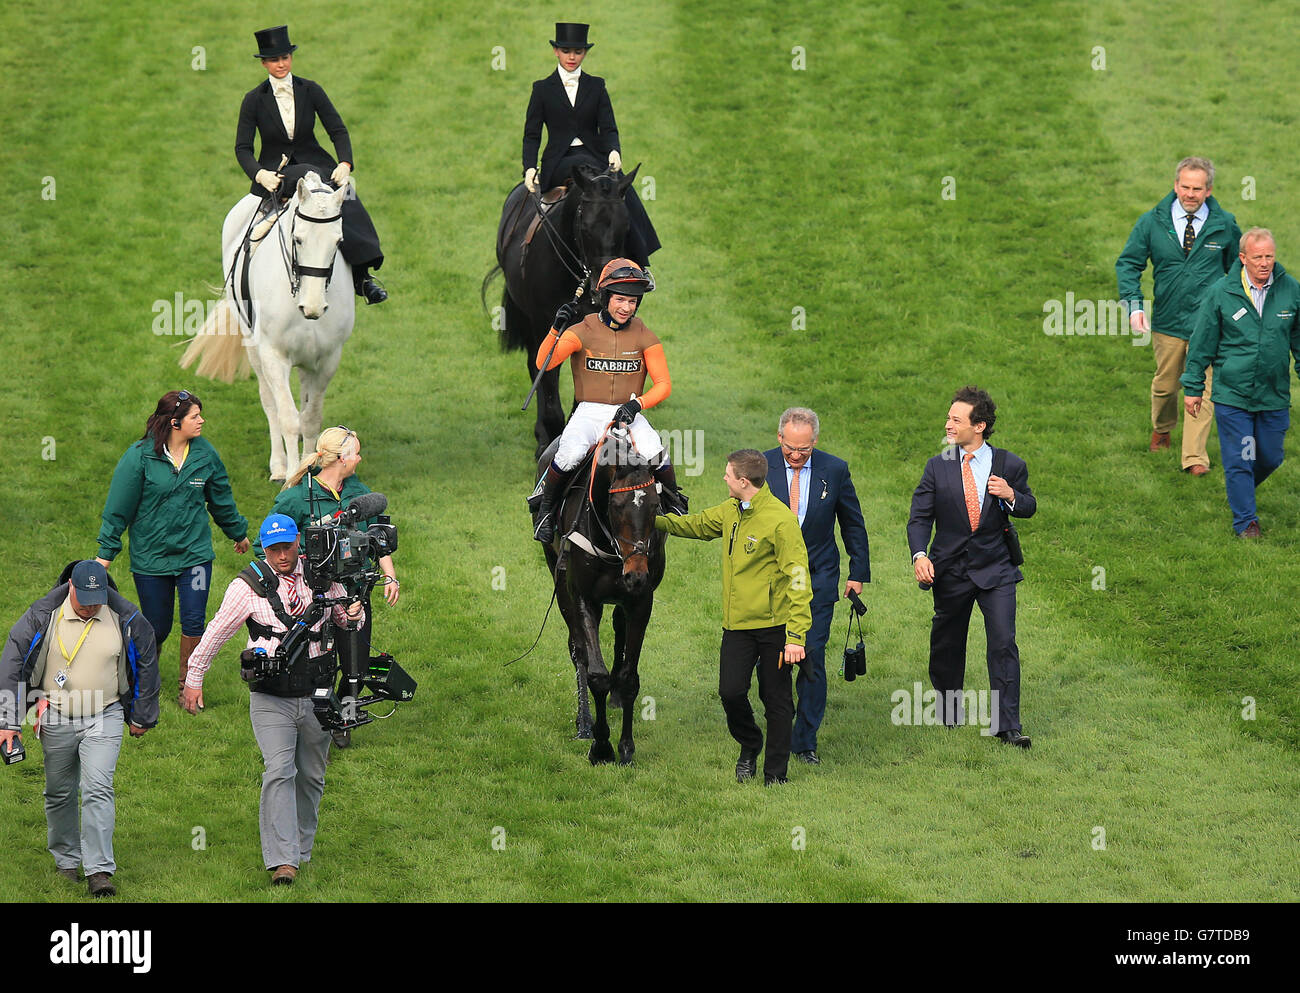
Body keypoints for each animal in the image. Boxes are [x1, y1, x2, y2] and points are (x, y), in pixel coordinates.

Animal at [182, 172, 356, 483]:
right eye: (298, 239)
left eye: (338, 242)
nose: (313, 308)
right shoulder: (274, 356)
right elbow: (288, 418)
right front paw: (291, 475)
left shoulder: (327, 360)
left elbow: (310, 420)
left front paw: (311, 467)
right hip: (253, 345)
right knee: (269, 401)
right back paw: (278, 465)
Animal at [486, 165, 637, 457]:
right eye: (586, 228)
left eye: (626, 226)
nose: (603, 290)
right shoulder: (546, 324)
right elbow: (547, 383)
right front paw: (550, 440)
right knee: (536, 367)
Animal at [530, 428, 665, 769]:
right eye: (616, 505)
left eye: (655, 505)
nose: (636, 574)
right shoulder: (582, 597)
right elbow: (595, 673)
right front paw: (601, 746)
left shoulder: (641, 600)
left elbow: (629, 677)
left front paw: (626, 747)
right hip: (558, 575)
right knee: (577, 649)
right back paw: (584, 722)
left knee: (618, 627)